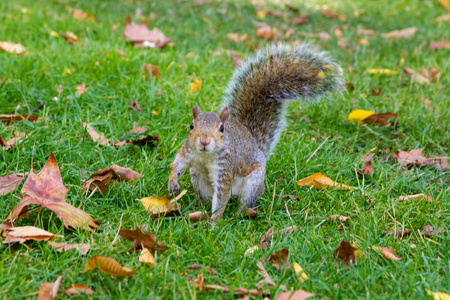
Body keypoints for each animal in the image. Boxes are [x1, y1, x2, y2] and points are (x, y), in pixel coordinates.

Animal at [167, 44, 342, 220]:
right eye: (191, 126)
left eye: (221, 128)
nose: (204, 142)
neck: (205, 155)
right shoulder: (188, 151)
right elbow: (177, 163)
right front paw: (173, 182)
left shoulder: (225, 168)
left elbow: (221, 199)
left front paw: (214, 222)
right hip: (197, 177)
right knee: (207, 197)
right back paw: (199, 207)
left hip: (254, 182)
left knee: (245, 201)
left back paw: (239, 215)